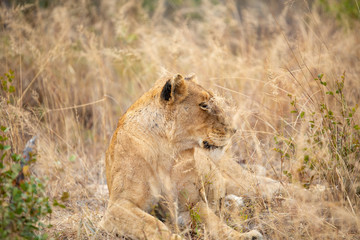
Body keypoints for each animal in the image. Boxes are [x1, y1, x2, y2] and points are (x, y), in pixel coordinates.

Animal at [100, 73, 262, 240]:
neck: (167, 148)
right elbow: (153, 225)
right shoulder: (117, 206)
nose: (234, 130)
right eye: (204, 105)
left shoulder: (190, 202)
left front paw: (245, 235)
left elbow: (214, 221)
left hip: (241, 181)